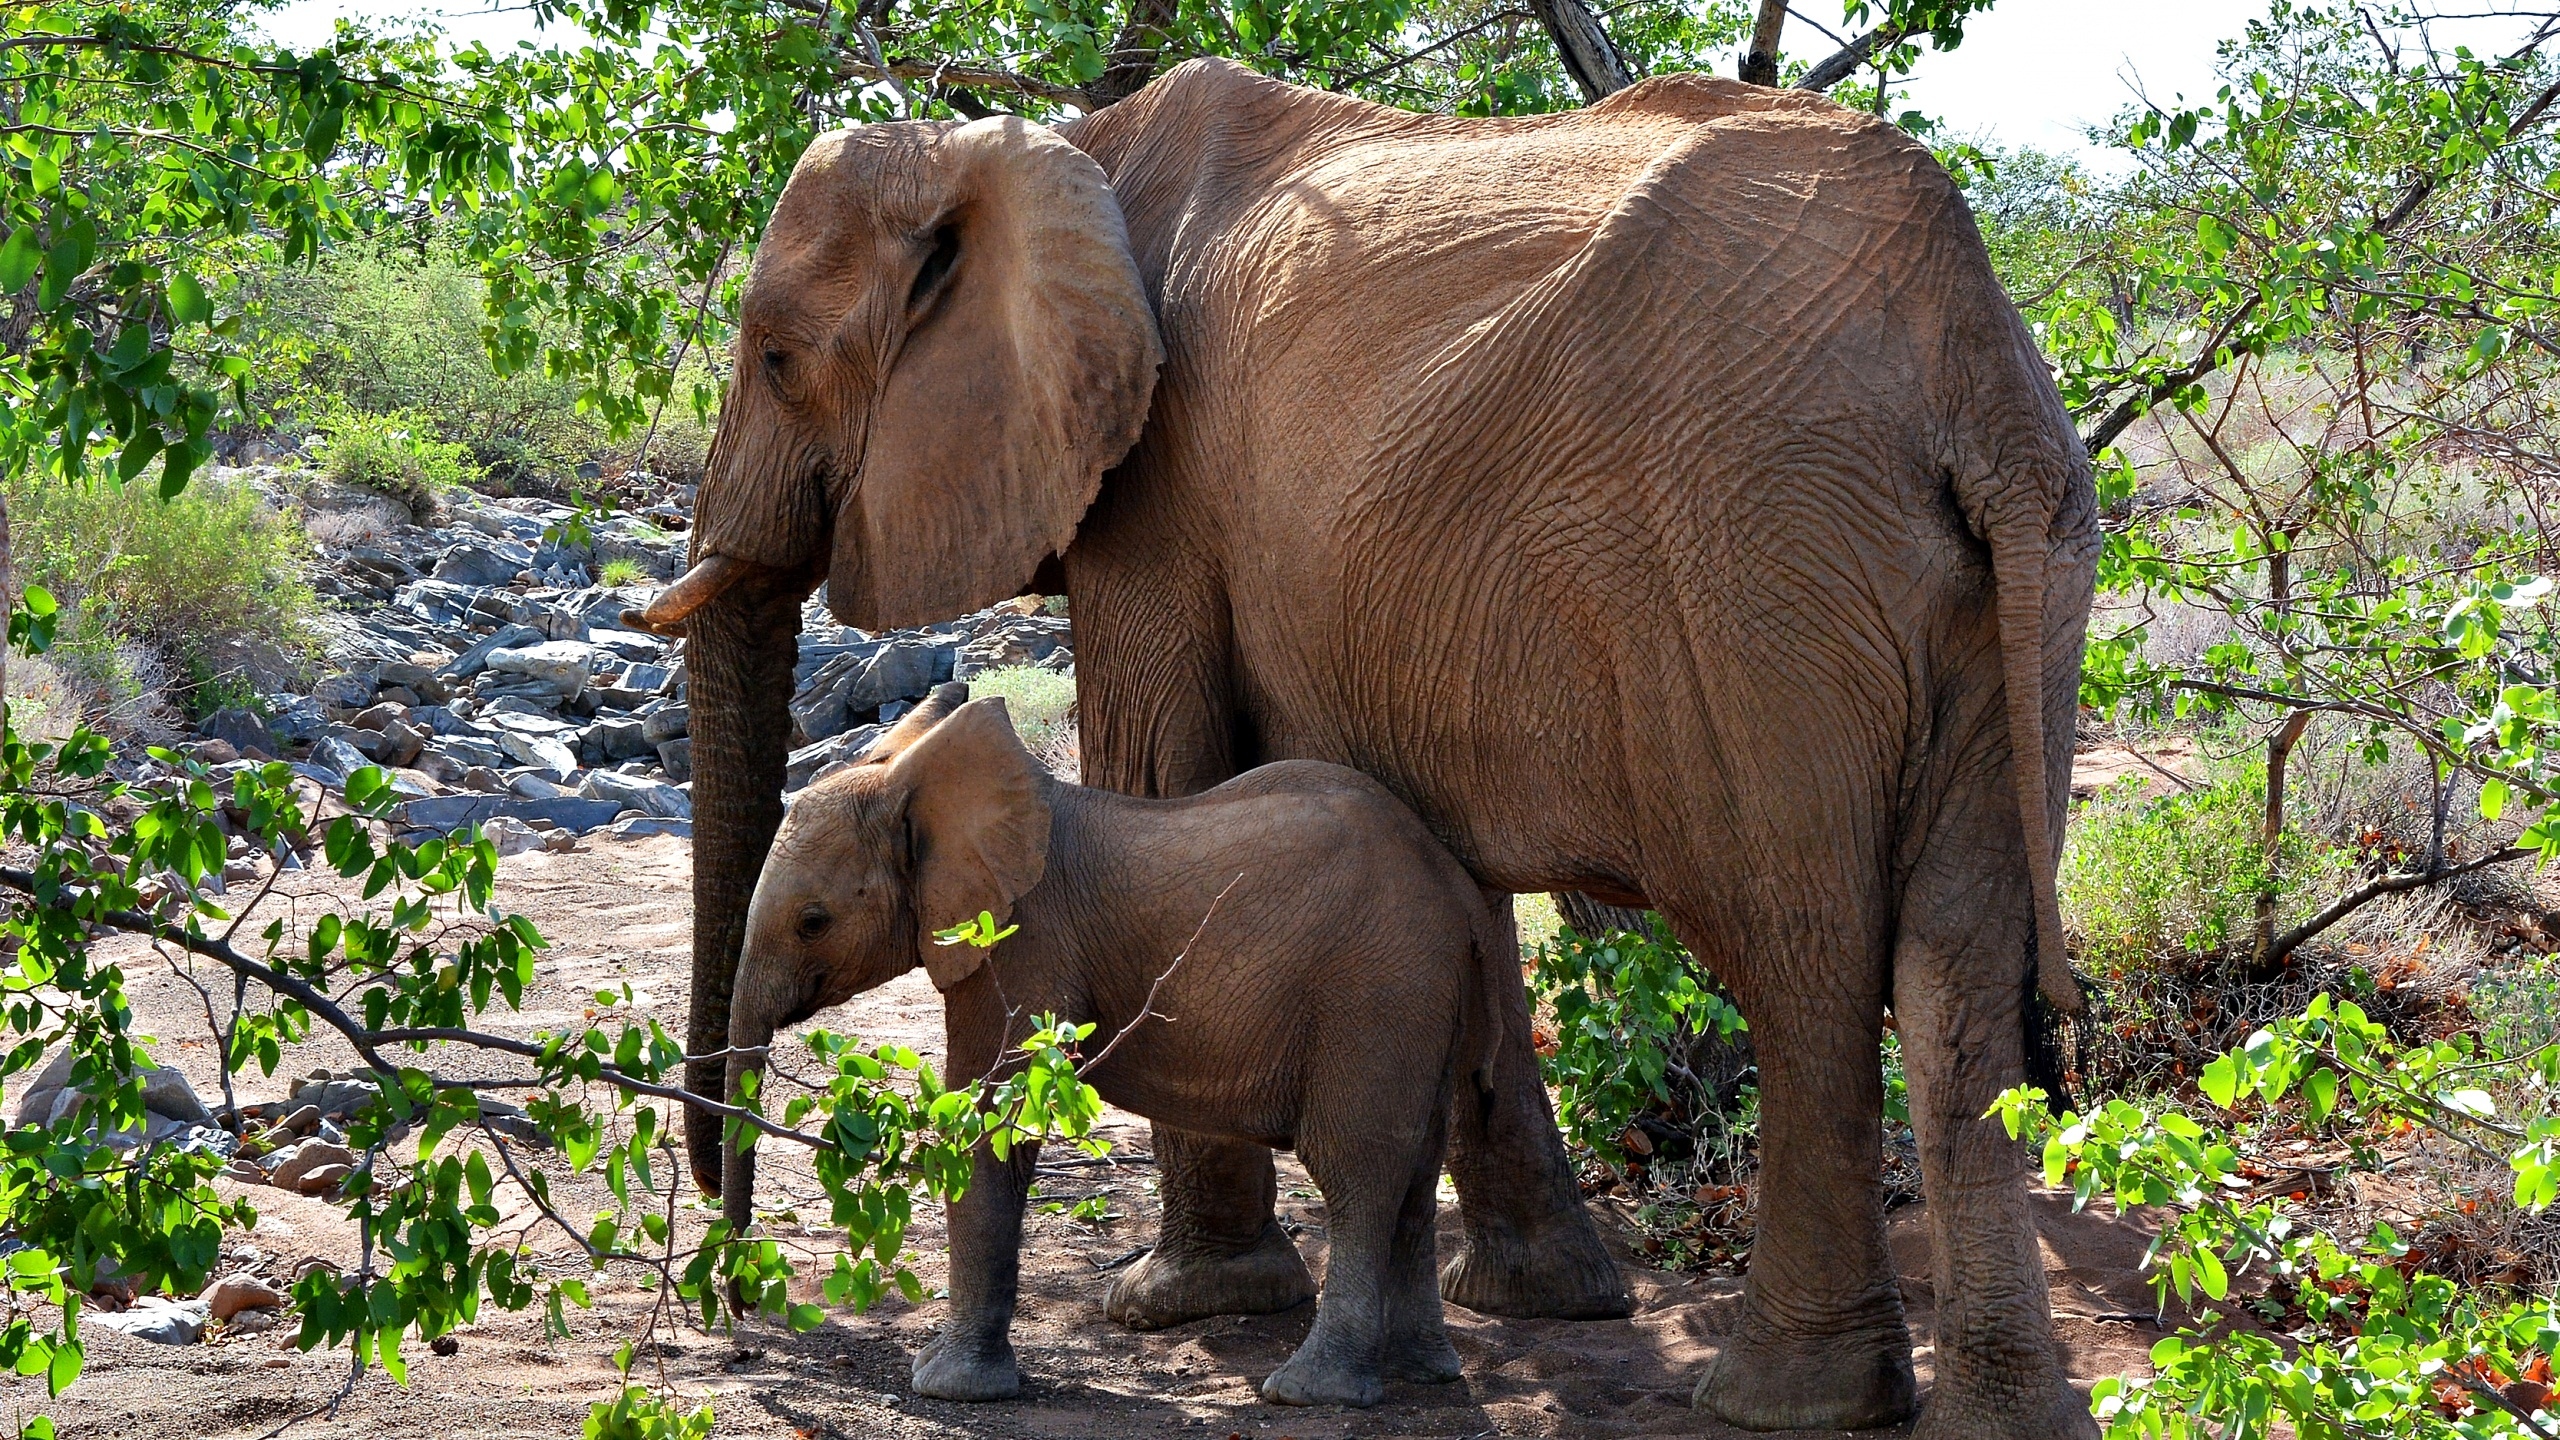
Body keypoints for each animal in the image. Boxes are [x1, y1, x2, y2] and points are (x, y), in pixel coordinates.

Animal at [732, 681, 1505, 1404]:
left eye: (812, 921)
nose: (741, 1316)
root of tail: (1459, 892)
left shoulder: (1021, 944)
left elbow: (990, 1123)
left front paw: (947, 1388)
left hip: (1375, 992)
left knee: (1357, 1169)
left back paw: (1309, 1392)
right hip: (1422, 998)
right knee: (1415, 1169)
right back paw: (1421, 1373)